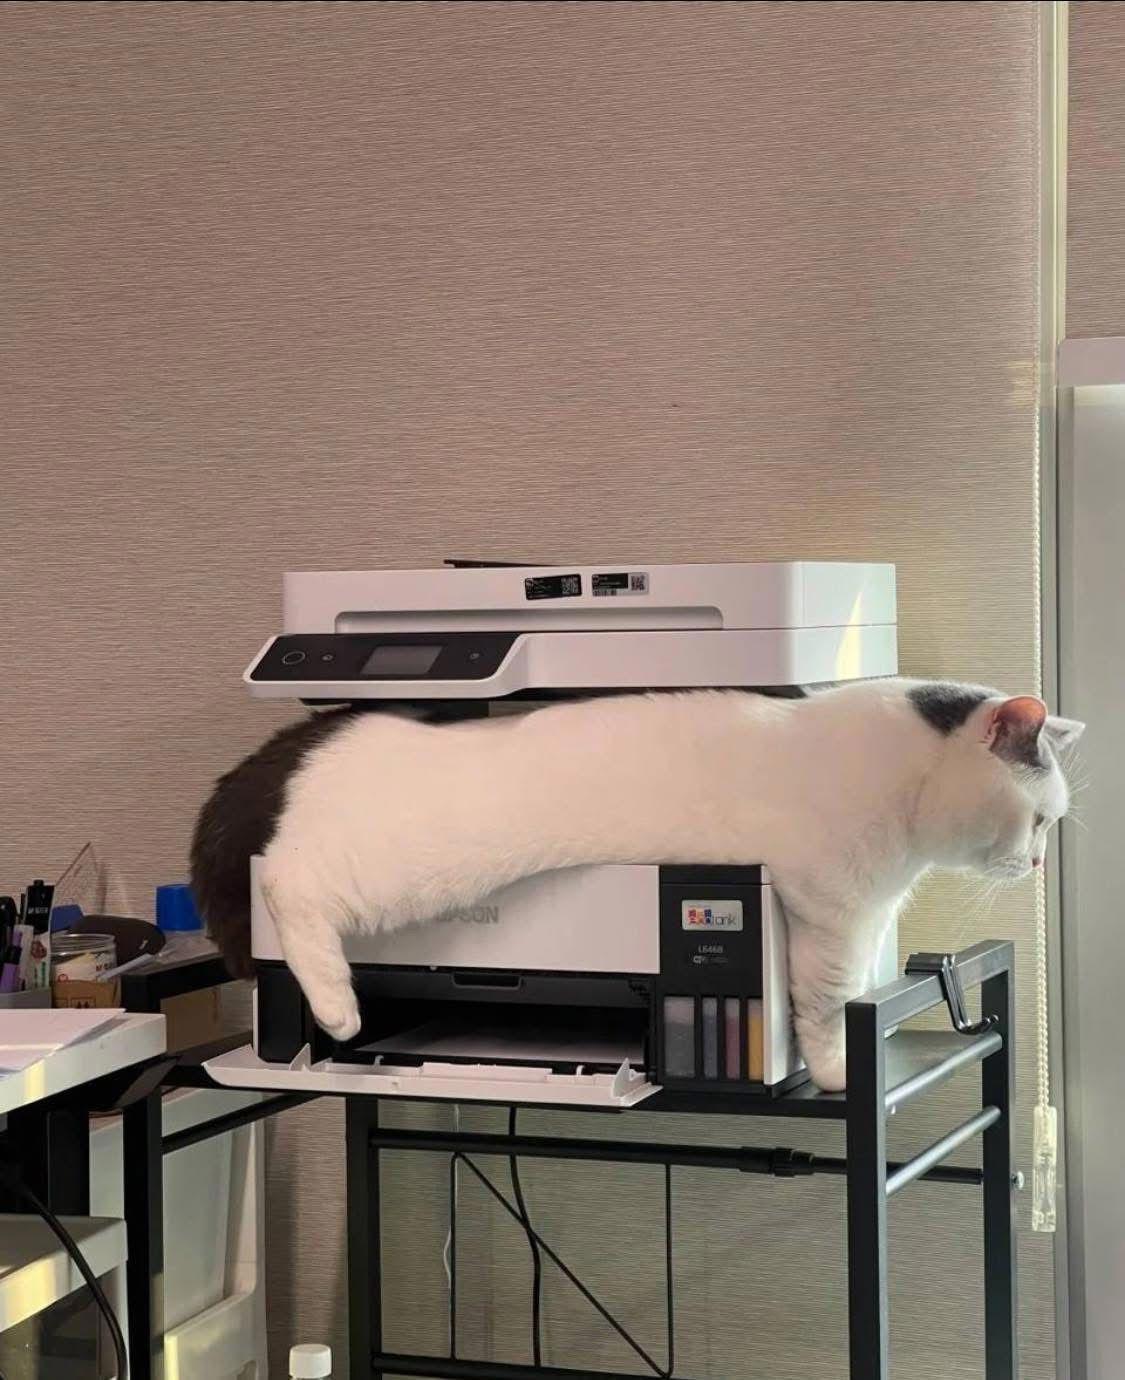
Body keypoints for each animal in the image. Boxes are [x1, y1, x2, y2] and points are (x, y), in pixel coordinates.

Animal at [190, 679, 1083, 1091]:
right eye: (1040, 819)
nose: (1039, 863)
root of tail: (321, 730)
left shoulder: (862, 918)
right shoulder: (829, 916)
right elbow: (829, 1009)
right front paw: (835, 1076)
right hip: (381, 870)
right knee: (292, 881)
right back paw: (338, 1010)